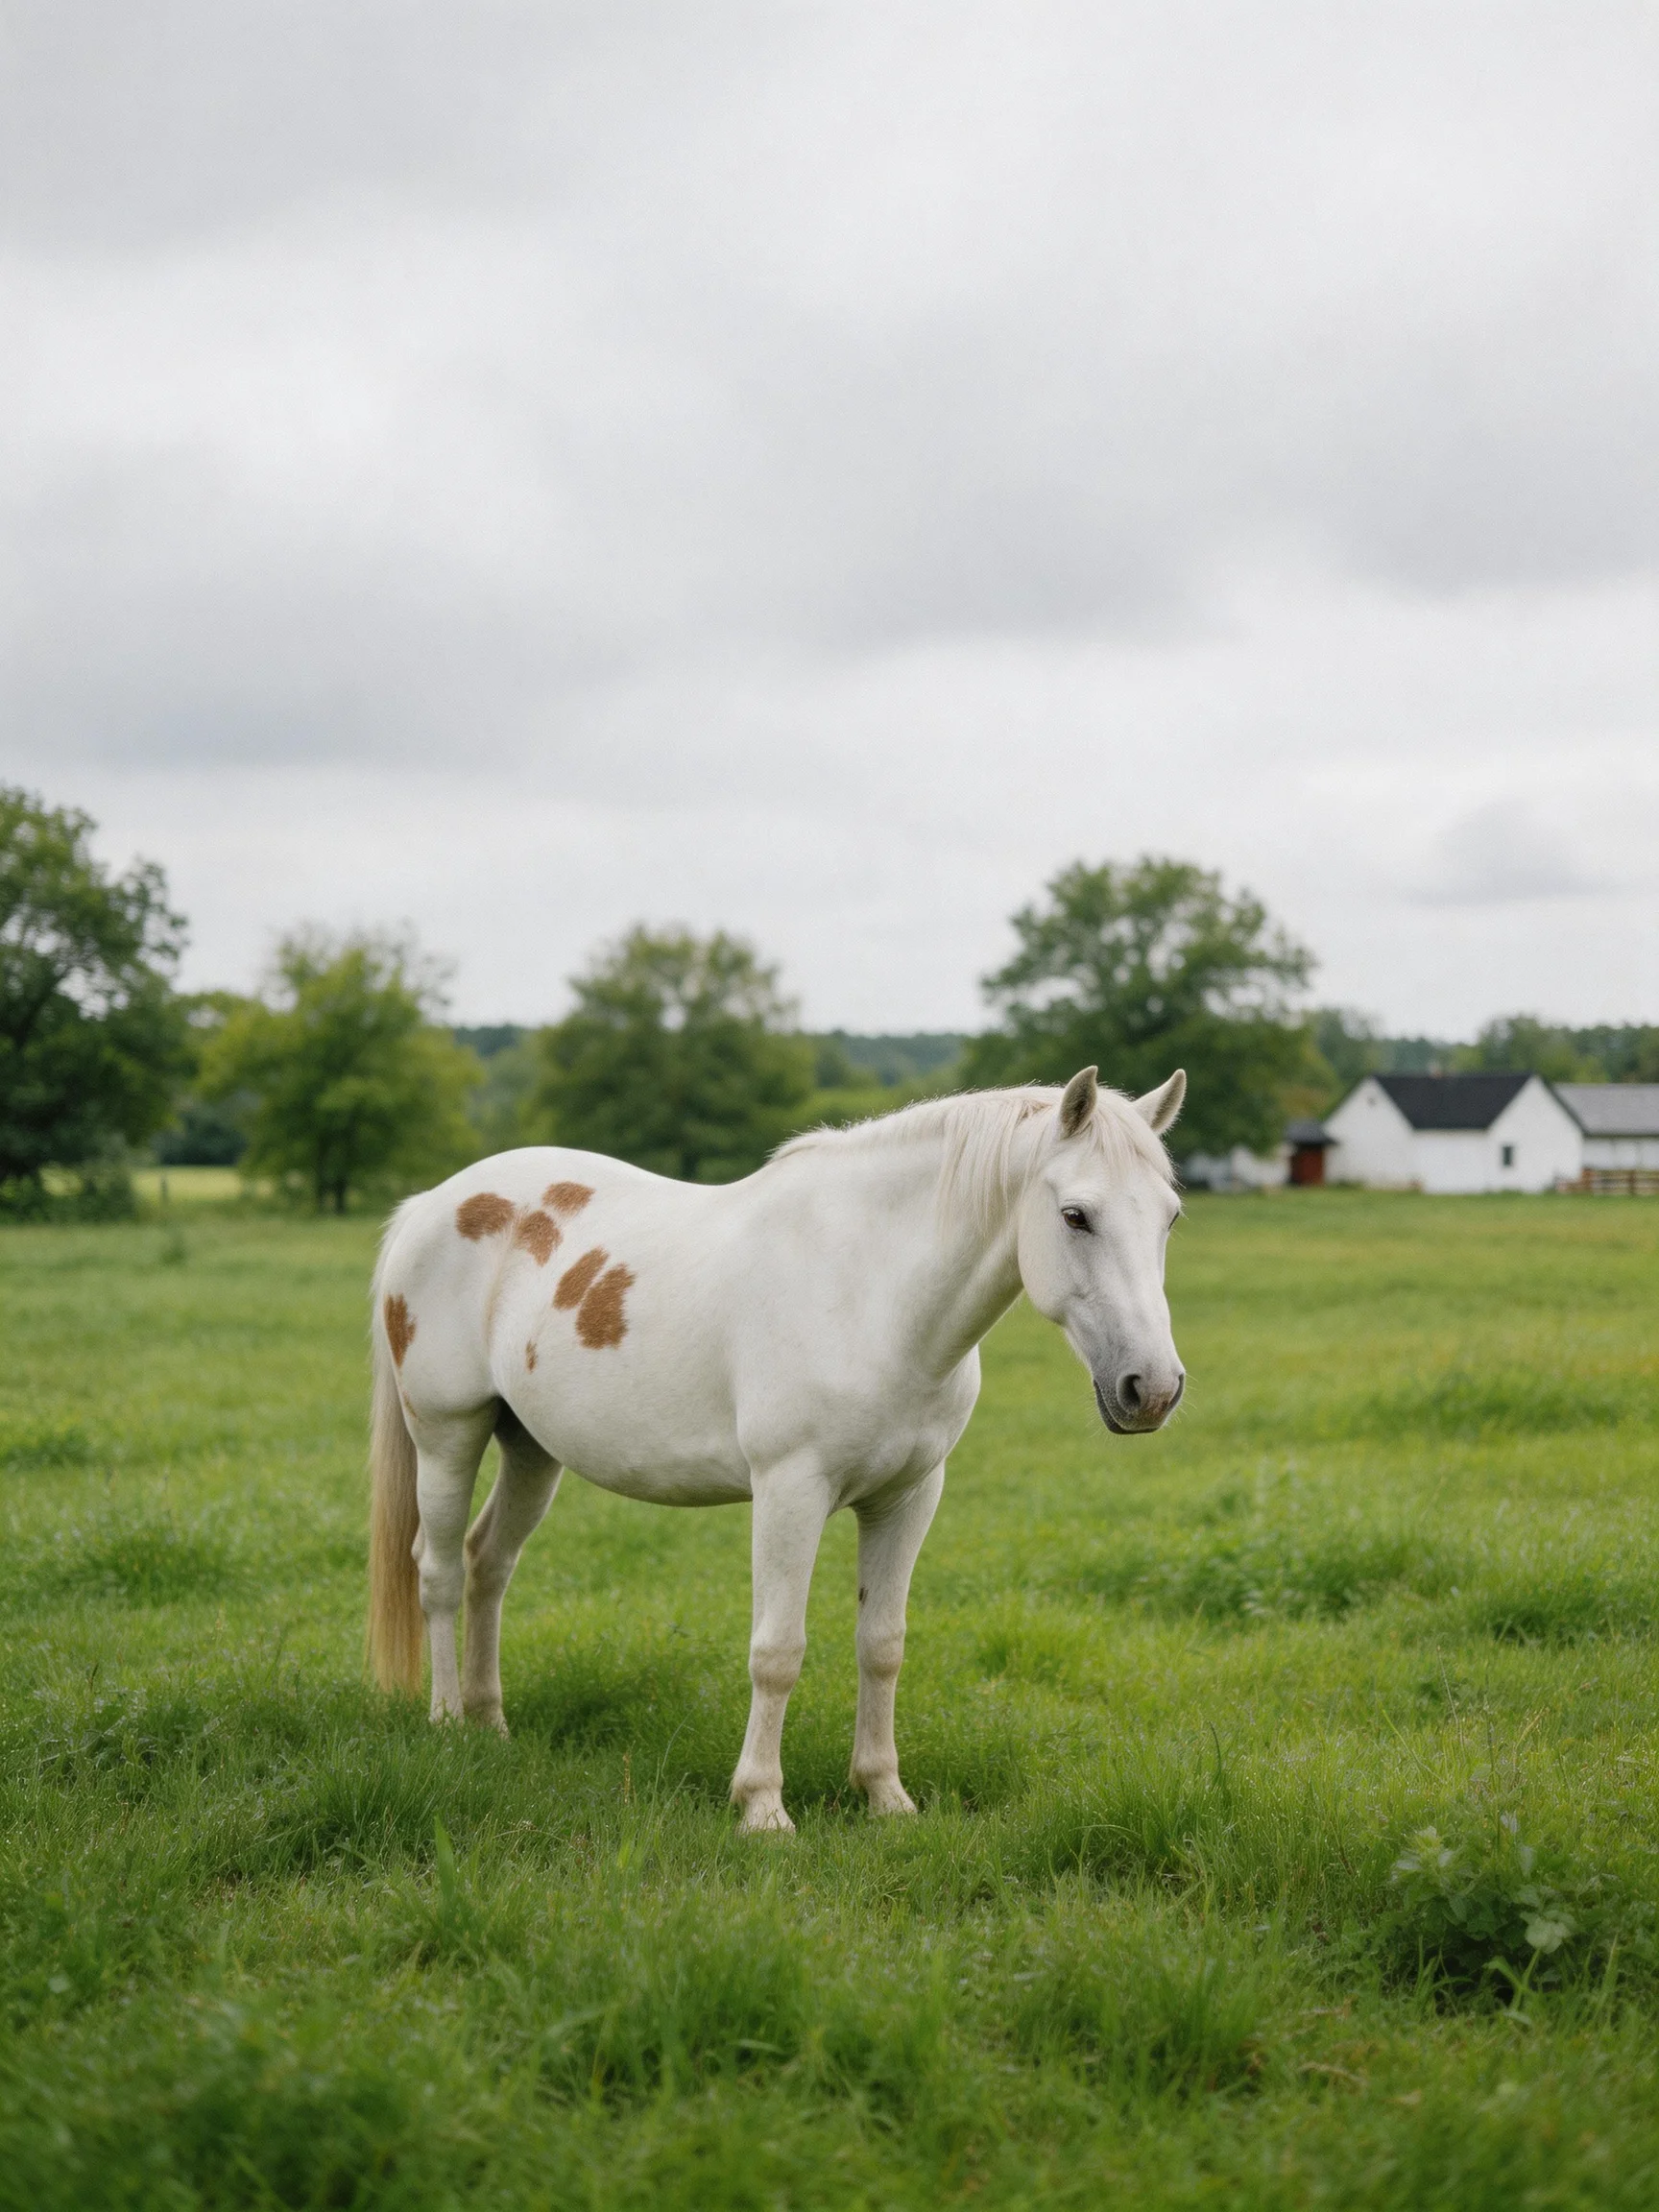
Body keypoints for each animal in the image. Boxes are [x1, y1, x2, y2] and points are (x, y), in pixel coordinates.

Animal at [366, 1063, 1187, 1833]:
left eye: (1171, 1217)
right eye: (1076, 1215)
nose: (1151, 1388)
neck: (871, 1293)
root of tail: (429, 1205)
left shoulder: (909, 1496)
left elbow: (882, 1644)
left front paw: (884, 1795)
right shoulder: (791, 1490)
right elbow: (778, 1652)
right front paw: (762, 1806)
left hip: (532, 1448)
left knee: (489, 1564)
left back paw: (491, 1724)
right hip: (447, 1432)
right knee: (439, 1570)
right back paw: (447, 1723)